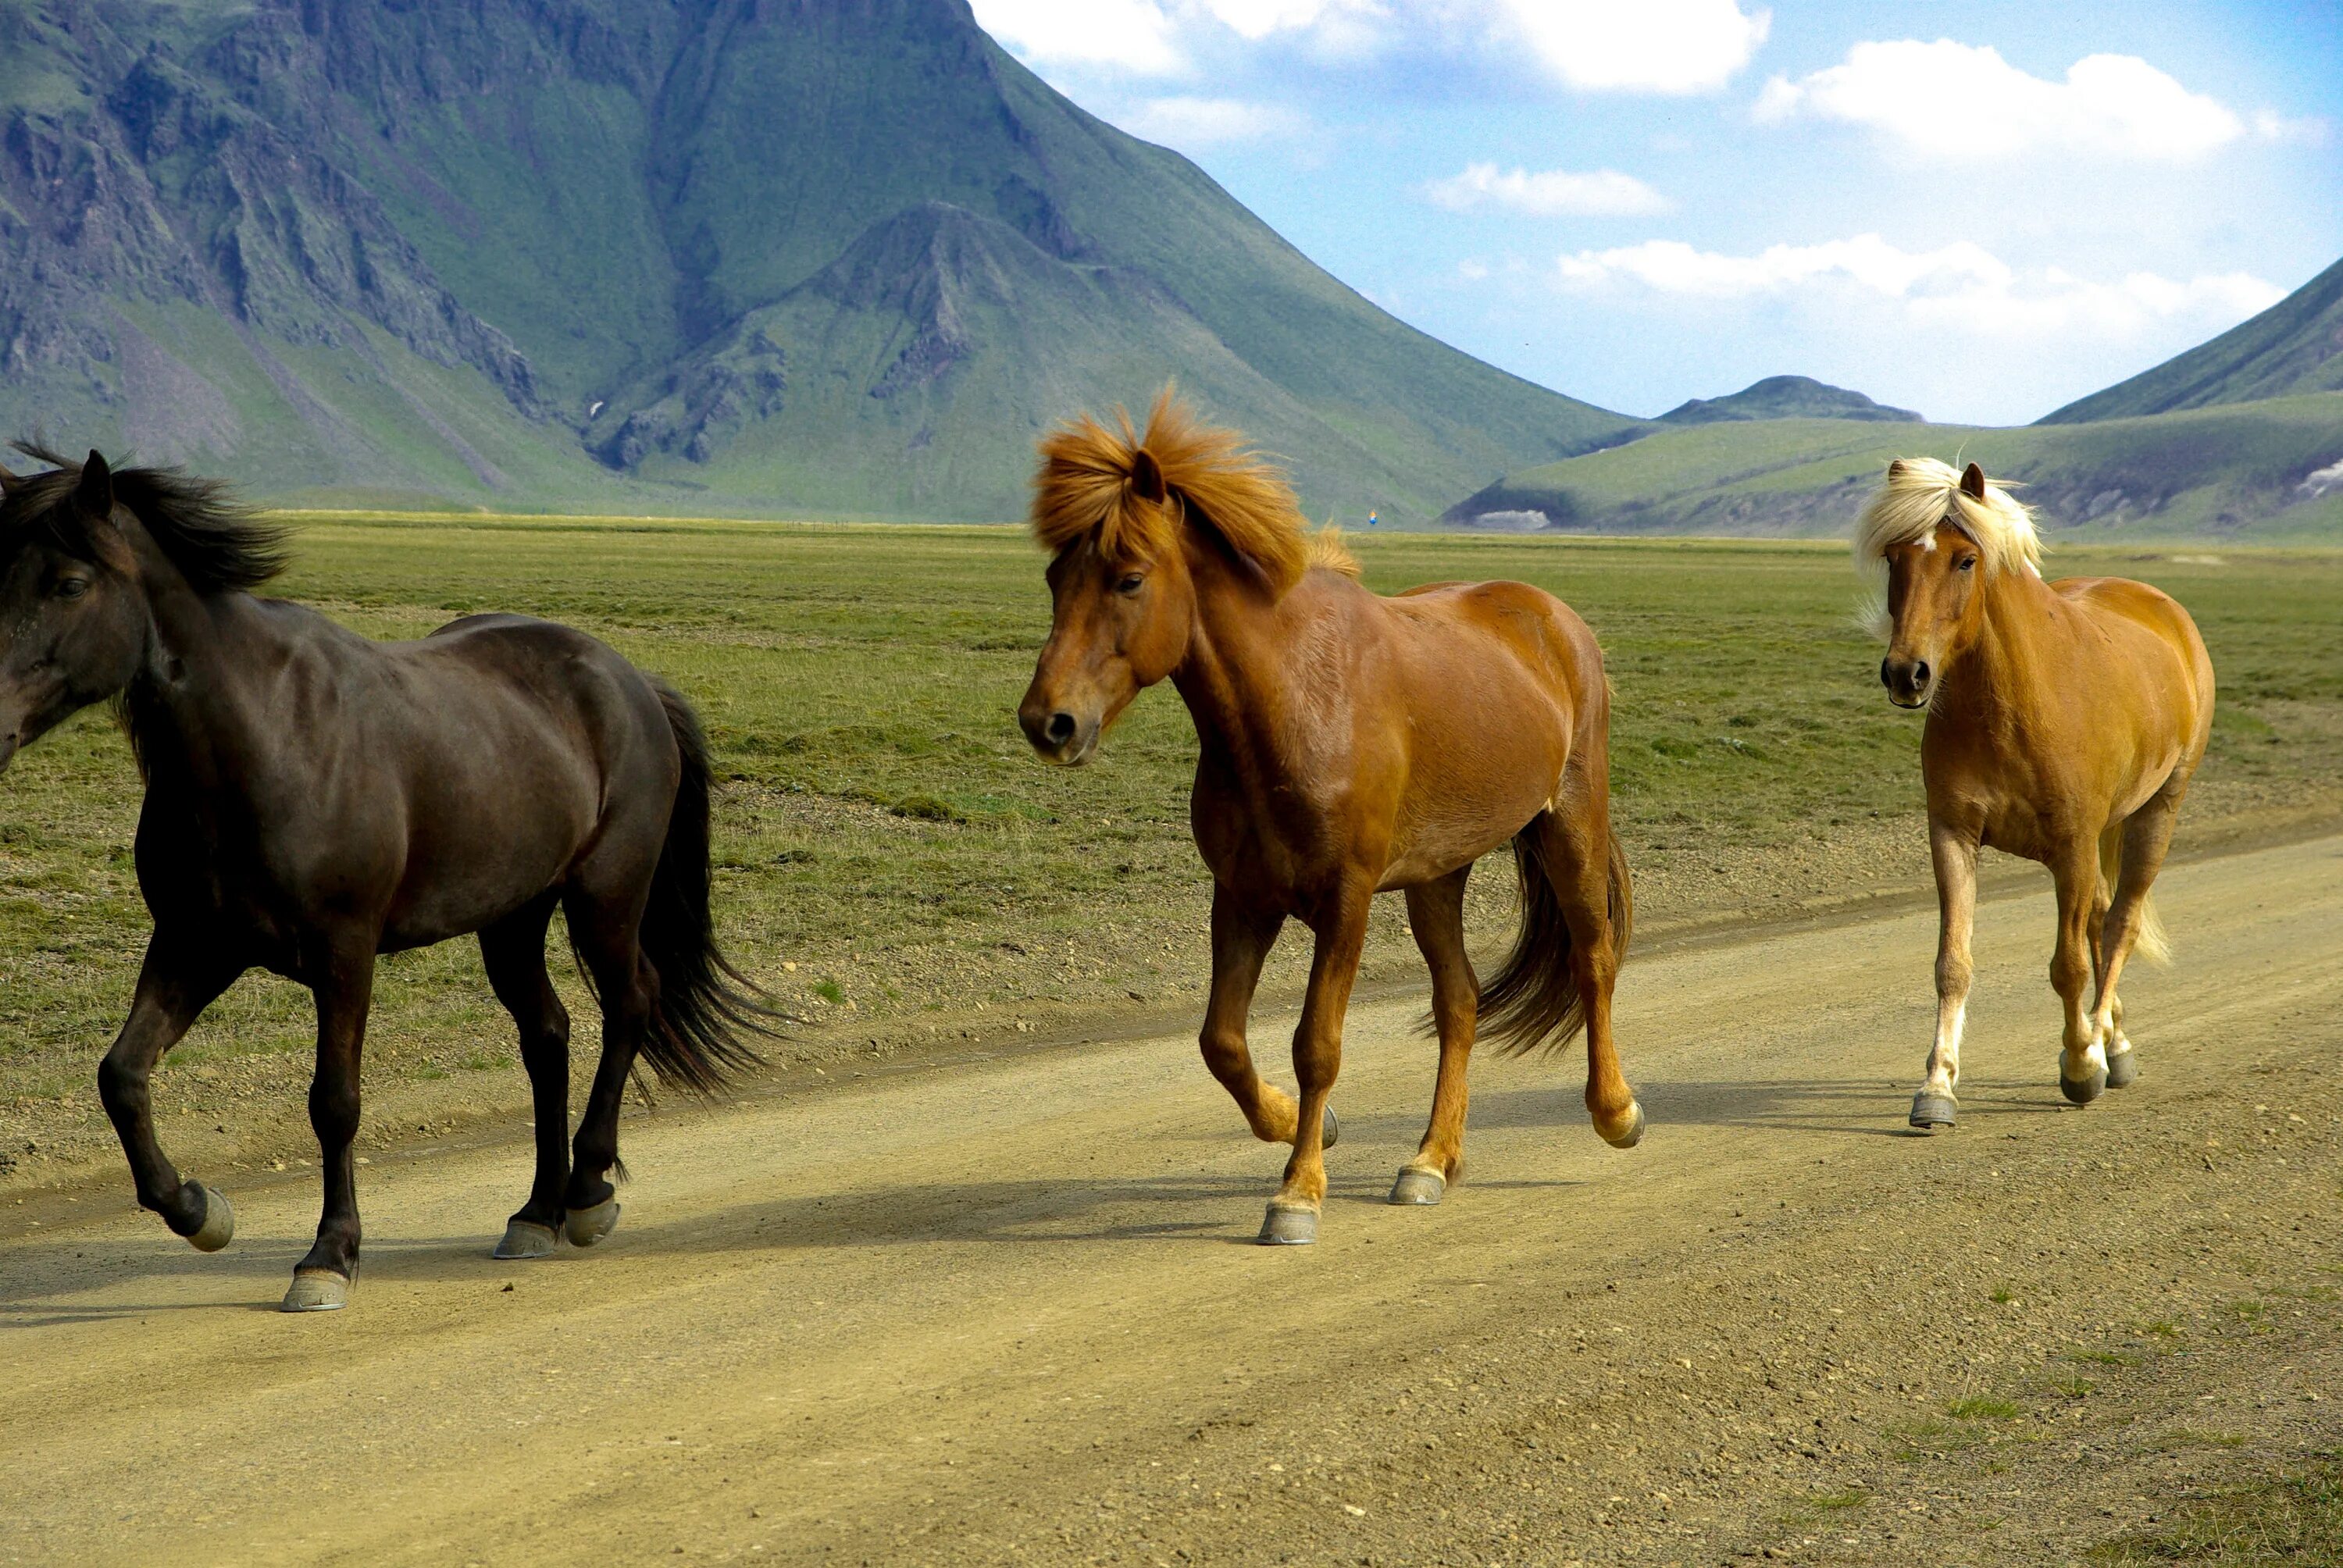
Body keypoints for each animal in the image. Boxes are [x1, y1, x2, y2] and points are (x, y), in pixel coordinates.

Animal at [0, 450, 769, 1312]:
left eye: (69, 583)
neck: (262, 739)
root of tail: (629, 678)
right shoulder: (196, 943)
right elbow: (122, 1076)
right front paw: (200, 1210)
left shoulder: (344, 953)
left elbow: (334, 1103)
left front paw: (328, 1255)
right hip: (511, 916)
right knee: (547, 1035)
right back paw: (535, 1212)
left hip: (605, 895)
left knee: (631, 1002)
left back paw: (587, 1191)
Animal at [1017, 394, 1640, 1246]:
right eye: (1054, 576)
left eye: (1129, 577)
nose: (1048, 722)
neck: (1294, 700)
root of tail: (1552, 617)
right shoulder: (1243, 895)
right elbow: (1222, 1042)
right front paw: (1300, 1127)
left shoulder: (1345, 900)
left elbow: (1317, 1043)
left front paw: (1298, 1192)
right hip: (1438, 874)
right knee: (1461, 1002)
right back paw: (1431, 1160)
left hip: (1567, 825)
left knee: (1593, 959)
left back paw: (1615, 1111)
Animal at [1865, 452, 2212, 1124]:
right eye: (1895, 557)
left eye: (1964, 560)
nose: (1906, 674)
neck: (2011, 703)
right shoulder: (1952, 835)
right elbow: (1953, 965)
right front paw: (1937, 1087)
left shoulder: (2071, 847)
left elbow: (2069, 965)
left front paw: (2079, 1065)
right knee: (2102, 920)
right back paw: (2115, 1040)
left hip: (2158, 811)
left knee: (2120, 923)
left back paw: (2103, 1044)